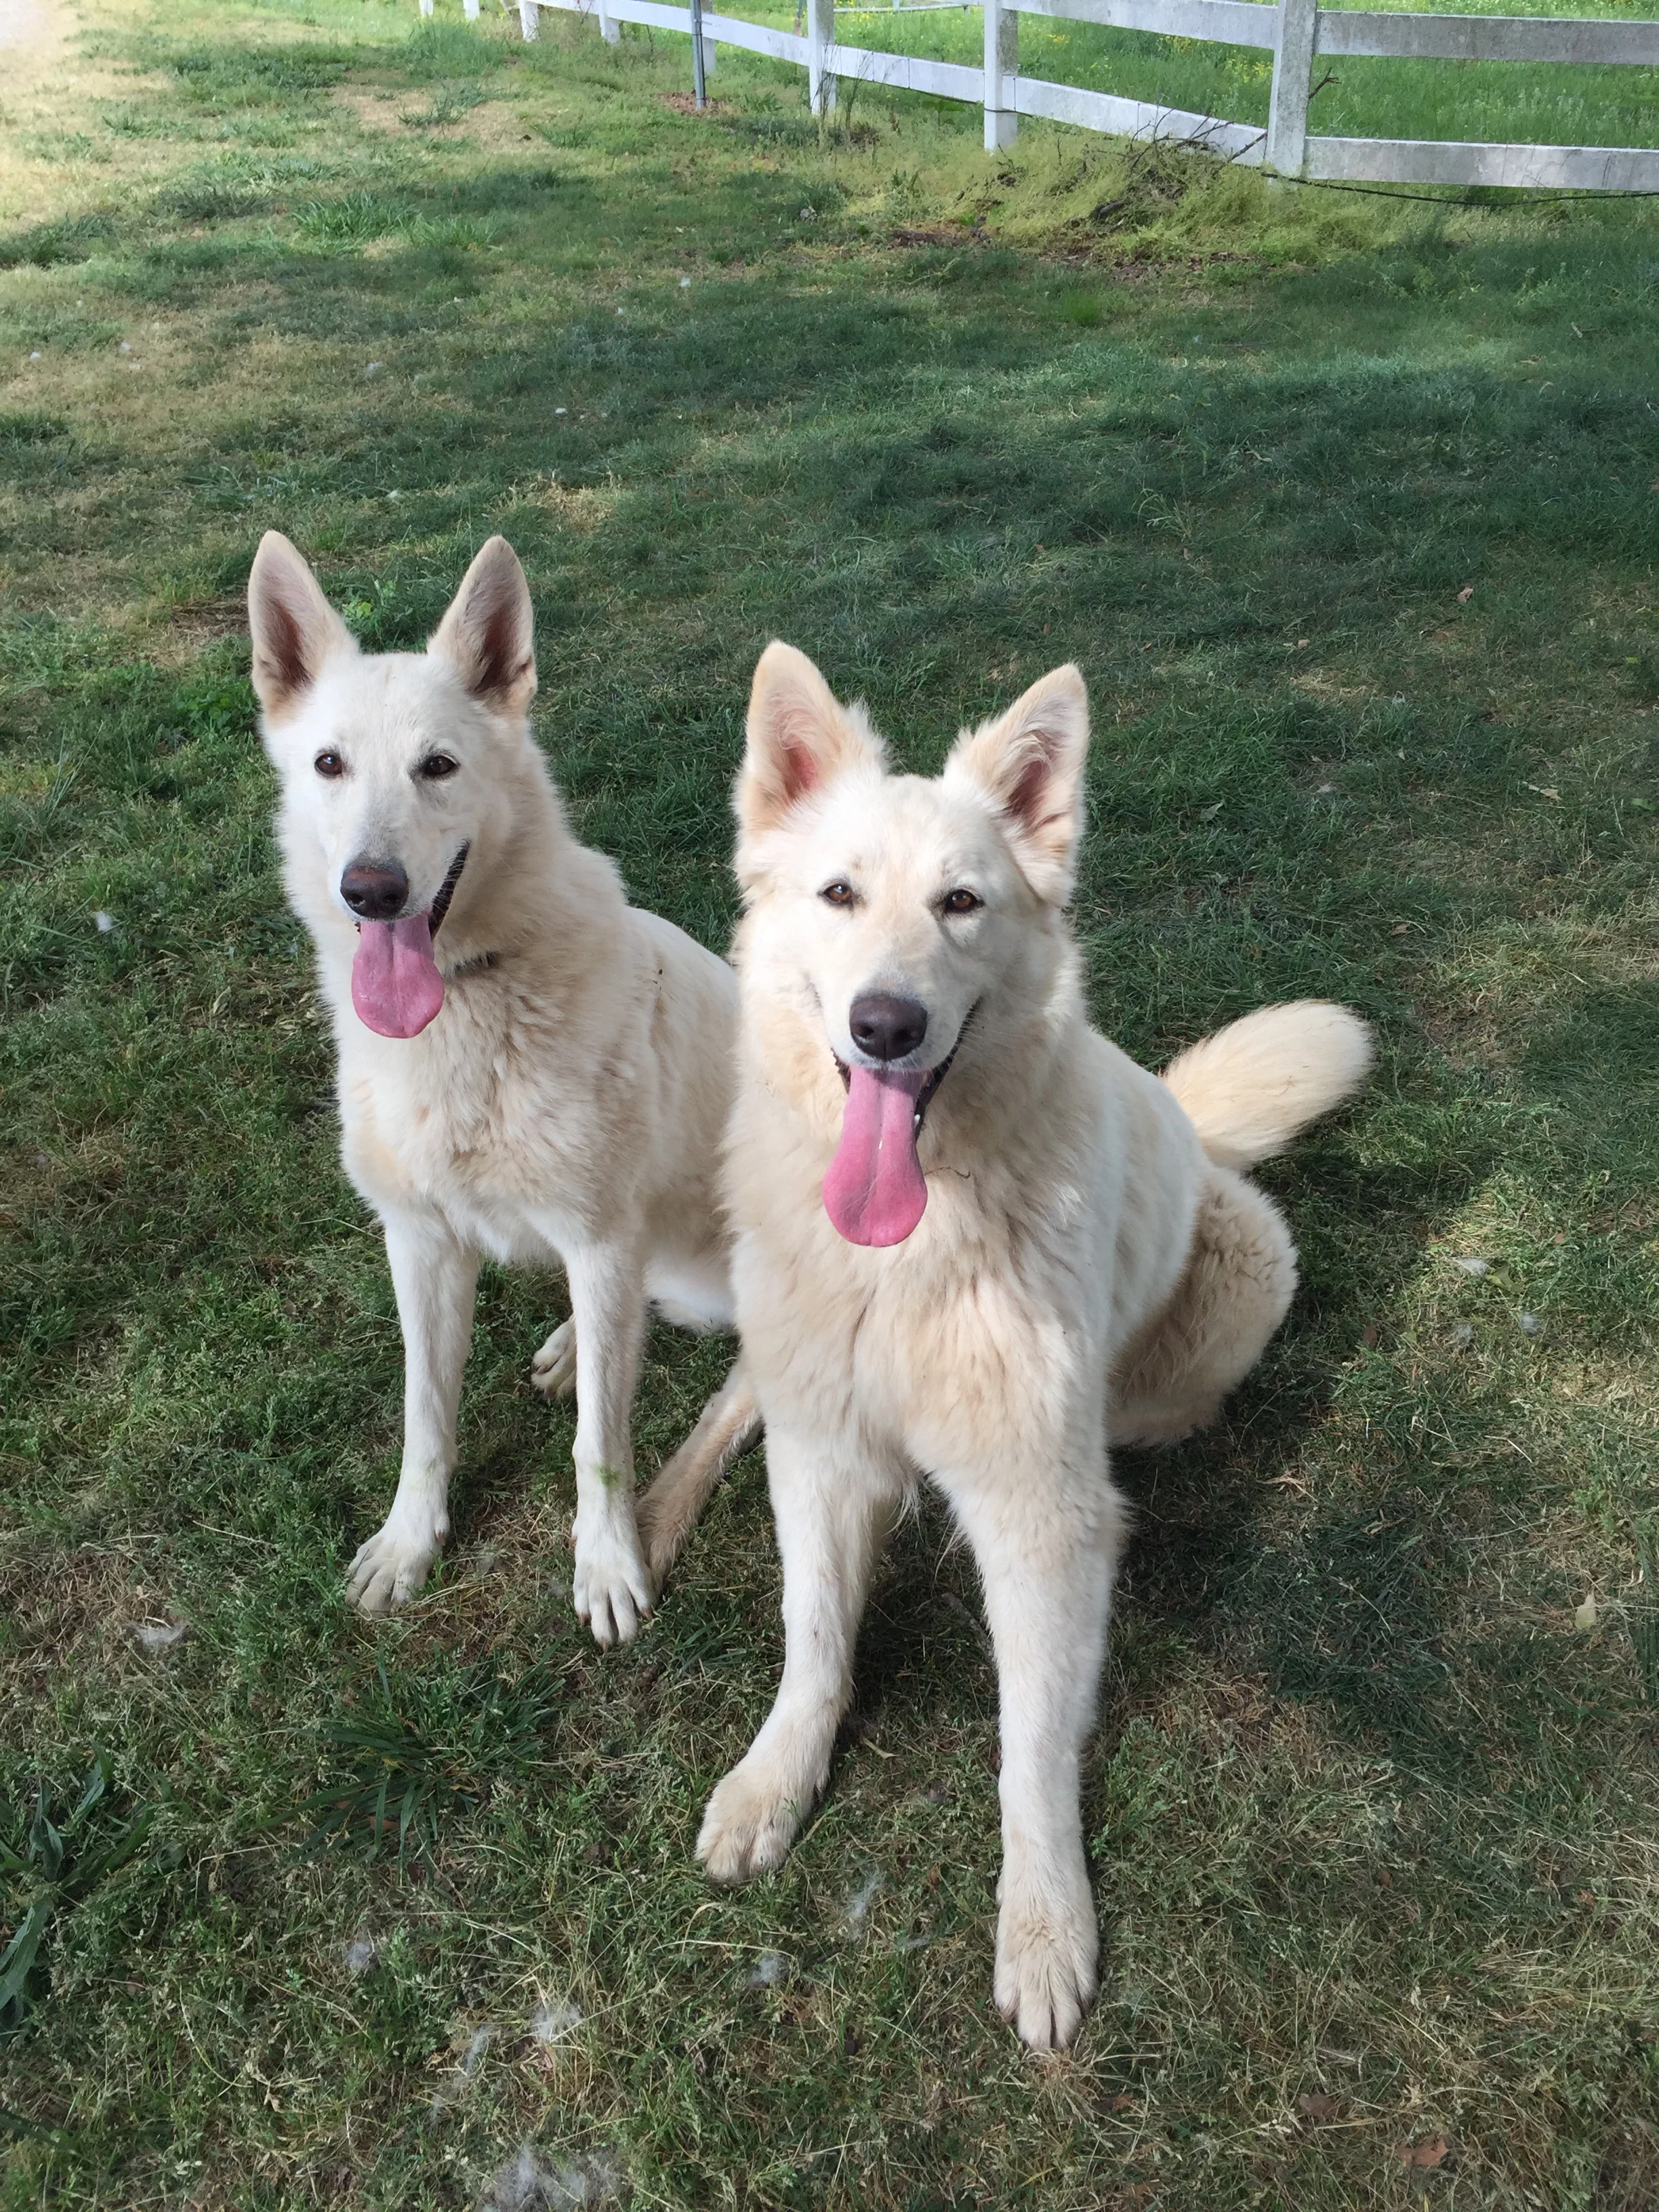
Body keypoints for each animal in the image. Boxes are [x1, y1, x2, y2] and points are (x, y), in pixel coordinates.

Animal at [249, 531, 760, 1645]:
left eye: (438, 766)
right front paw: (410, 1544)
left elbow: (599, 1447)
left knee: (738, 1386)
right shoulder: (421, 1244)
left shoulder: (600, 1240)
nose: (371, 891)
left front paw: (607, 1566)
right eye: (328, 765)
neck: (468, 1002)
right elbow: (426, 1414)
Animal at [694, 646, 1371, 2043]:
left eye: (960, 902)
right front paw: (775, 1779)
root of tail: (1192, 1123)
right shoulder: (821, 1448)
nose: (884, 1024)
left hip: (1236, 1281)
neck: (903, 1254)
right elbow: (813, 1634)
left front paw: (1044, 1921)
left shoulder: (1036, 1513)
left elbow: (1030, 1742)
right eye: (838, 893)